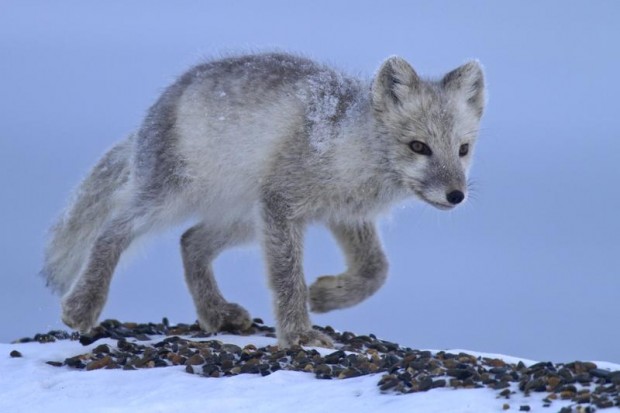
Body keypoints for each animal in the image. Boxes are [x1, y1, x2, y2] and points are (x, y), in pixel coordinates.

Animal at [42, 52, 484, 348]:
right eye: (418, 147)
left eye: (463, 150)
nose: (456, 195)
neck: (349, 142)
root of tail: (150, 117)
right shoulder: (282, 205)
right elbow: (287, 277)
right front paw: (300, 334)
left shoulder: (344, 214)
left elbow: (376, 270)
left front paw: (324, 296)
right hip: (171, 198)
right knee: (112, 232)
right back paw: (82, 307)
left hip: (244, 220)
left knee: (190, 241)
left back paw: (216, 313)